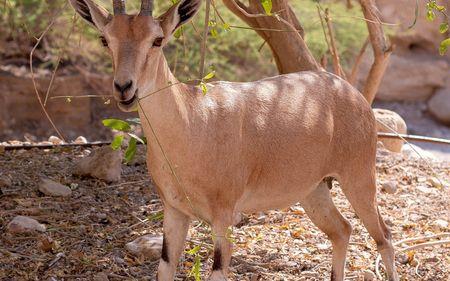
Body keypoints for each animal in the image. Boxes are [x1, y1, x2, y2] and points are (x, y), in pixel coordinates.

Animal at [68, 0, 400, 278]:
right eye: (105, 38)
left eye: (157, 39)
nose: (124, 88)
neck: (192, 124)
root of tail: (352, 93)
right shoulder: (175, 211)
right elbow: (165, 266)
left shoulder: (223, 215)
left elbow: (218, 267)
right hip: (312, 190)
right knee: (342, 230)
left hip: (358, 176)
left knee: (384, 236)